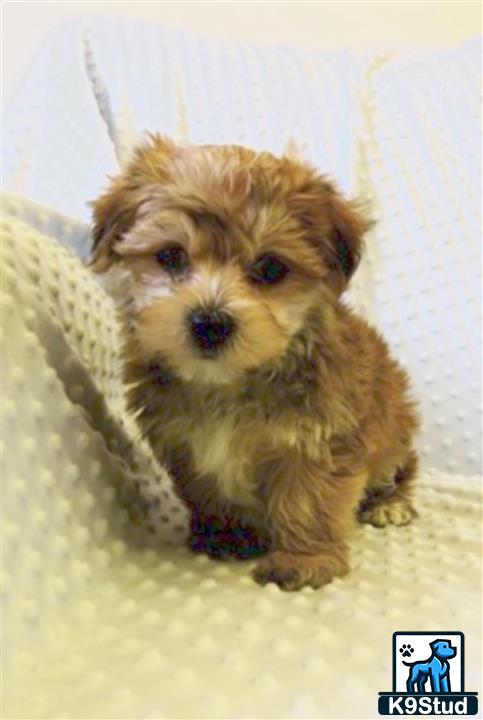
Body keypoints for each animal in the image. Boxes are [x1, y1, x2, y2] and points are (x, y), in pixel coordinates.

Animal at [90, 135, 420, 592]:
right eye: (170, 256)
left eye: (270, 267)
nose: (210, 322)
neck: (225, 384)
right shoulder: (184, 444)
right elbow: (207, 490)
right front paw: (227, 536)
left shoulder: (321, 436)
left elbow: (309, 498)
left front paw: (304, 559)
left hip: (395, 426)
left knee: (403, 466)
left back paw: (391, 503)